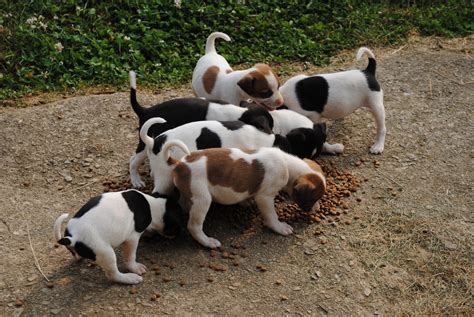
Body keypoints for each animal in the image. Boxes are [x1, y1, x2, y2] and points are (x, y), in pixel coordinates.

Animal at [52, 189, 182, 282]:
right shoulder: (132, 238)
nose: (176, 235)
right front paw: (135, 267)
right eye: (176, 227)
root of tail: (73, 237)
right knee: (113, 275)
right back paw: (130, 278)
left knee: (76, 254)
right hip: (106, 253)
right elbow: (130, 257)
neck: (152, 203)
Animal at [129, 69, 274, 188]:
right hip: (144, 144)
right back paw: (136, 181)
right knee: (134, 161)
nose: (272, 134)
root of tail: (145, 111)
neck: (240, 113)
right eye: (267, 126)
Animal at [163, 139, 326, 248]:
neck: (287, 164)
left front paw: (246, 201)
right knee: (194, 226)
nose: (317, 208)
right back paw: (208, 242)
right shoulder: (265, 197)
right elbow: (271, 216)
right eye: (313, 199)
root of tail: (180, 163)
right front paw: (279, 227)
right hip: (202, 200)